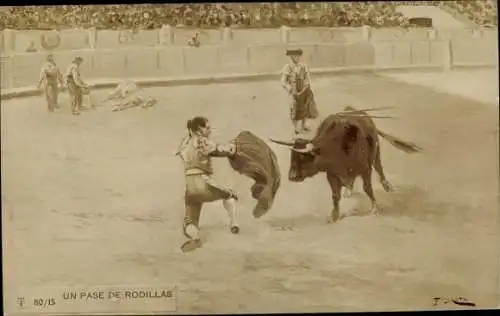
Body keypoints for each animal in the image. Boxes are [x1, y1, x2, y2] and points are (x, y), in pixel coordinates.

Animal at [270, 106, 422, 222]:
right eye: (292, 156)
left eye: (303, 157)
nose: (292, 176)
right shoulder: (331, 174)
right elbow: (335, 195)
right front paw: (334, 215)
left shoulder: (365, 169)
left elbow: (368, 188)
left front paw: (375, 208)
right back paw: (348, 190)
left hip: (376, 153)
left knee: (379, 167)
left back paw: (387, 186)